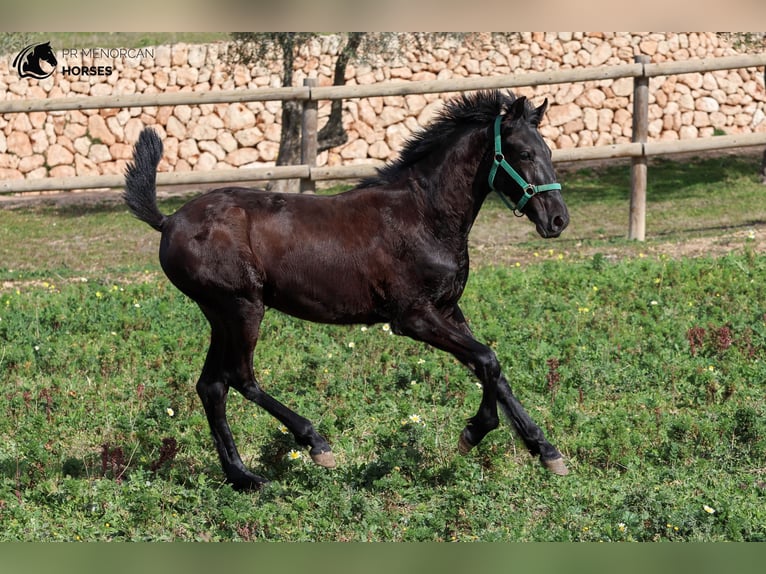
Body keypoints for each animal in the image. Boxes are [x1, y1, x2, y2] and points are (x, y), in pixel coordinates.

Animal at [123, 90, 568, 490]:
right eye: (523, 154)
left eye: (547, 151)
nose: (558, 219)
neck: (424, 215)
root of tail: (168, 221)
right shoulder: (413, 318)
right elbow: (488, 360)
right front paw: (473, 433)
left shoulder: (448, 310)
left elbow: (492, 369)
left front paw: (546, 451)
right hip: (241, 307)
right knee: (240, 377)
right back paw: (315, 444)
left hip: (220, 314)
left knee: (212, 386)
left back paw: (244, 477)